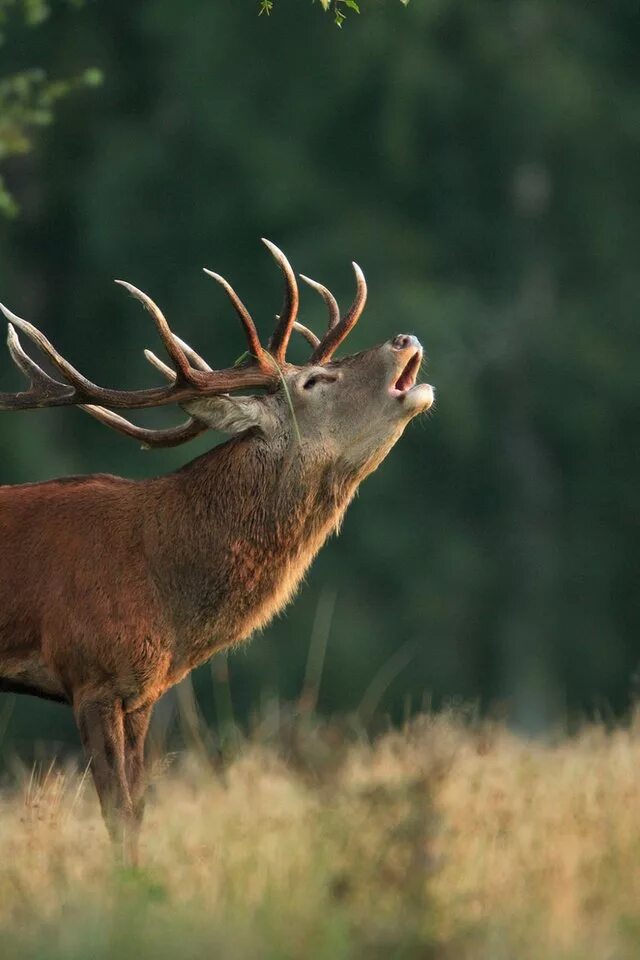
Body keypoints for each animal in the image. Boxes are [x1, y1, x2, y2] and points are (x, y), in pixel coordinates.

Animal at [0, 242, 436, 864]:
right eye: (314, 381)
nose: (405, 338)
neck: (164, 588)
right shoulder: (91, 672)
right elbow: (117, 815)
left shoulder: (140, 692)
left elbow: (137, 813)